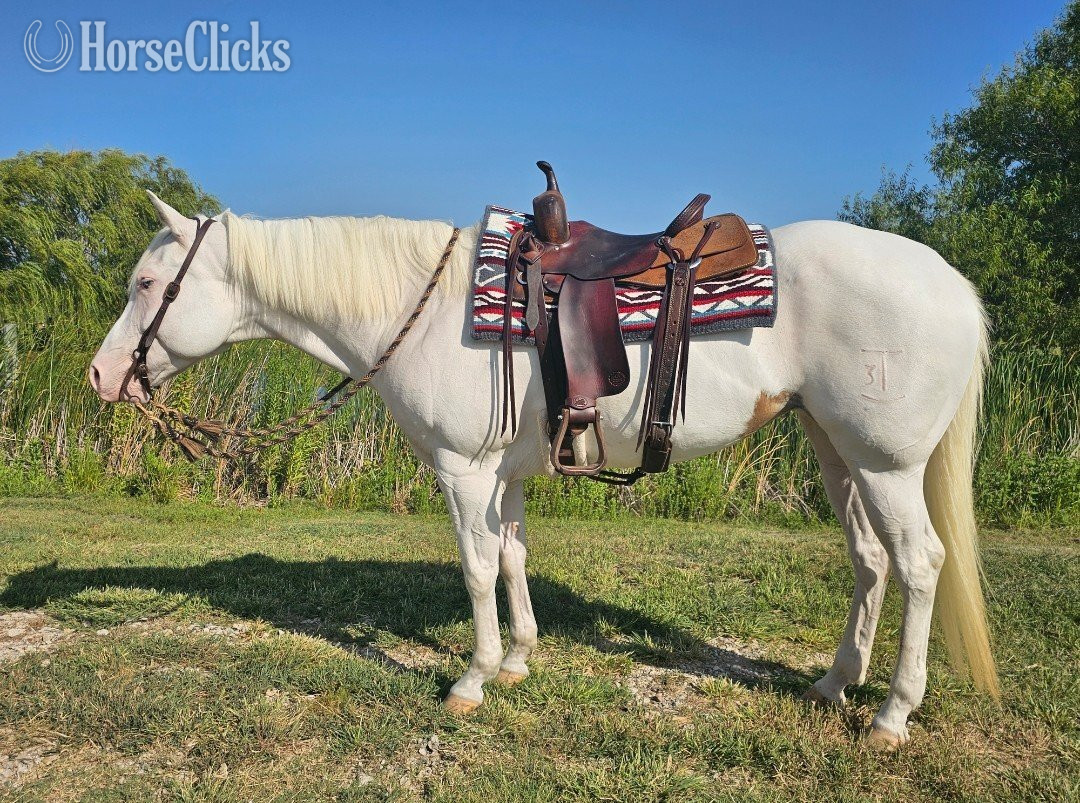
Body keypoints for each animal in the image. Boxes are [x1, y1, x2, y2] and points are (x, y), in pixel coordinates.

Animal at [89, 191, 999, 750]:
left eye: (147, 282)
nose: (101, 375)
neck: (422, 310)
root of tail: (954, 284)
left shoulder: (463, 472)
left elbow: (475, 566)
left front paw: (473, 677)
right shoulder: (506, 475)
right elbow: (515, 557)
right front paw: (522, 656)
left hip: (887, 462)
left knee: (919, 563)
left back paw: (891, 714)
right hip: (836, 449)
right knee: (870, 560)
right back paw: (834, 683)